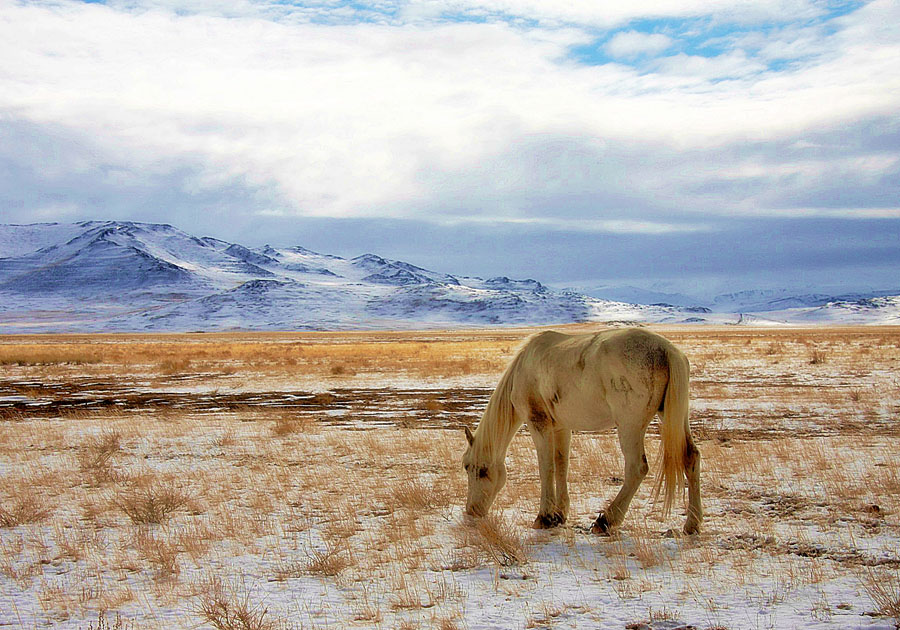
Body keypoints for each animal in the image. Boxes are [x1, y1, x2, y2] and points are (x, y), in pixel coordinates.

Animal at [464, 328, 704, 536]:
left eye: (472, 468)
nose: (472, 511)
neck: (523, 369)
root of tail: (667, 350)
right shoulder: (561, 427)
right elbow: (561, 465)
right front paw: (559, 514)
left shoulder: (538, 422)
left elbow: (546, 467)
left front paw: (544, 517)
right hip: (672, 413)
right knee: (690, 457)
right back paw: (692, 524)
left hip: (630, 425)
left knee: (637, 468)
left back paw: (606, 520)